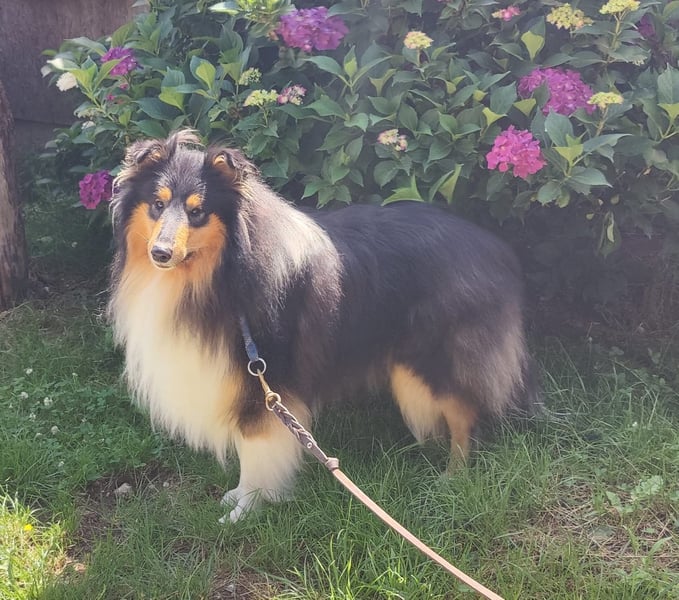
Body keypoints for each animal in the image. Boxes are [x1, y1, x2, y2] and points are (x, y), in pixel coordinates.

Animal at [108, 130, 540, 522]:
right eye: (157, 204)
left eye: (198, 211)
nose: (160, 253)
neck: (220, 274)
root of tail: (496, 249)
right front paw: (238, 499)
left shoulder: (262, 381)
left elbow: (253, 449)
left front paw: (245, 509)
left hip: (432, 358)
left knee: (465, 413)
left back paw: (452, 477)